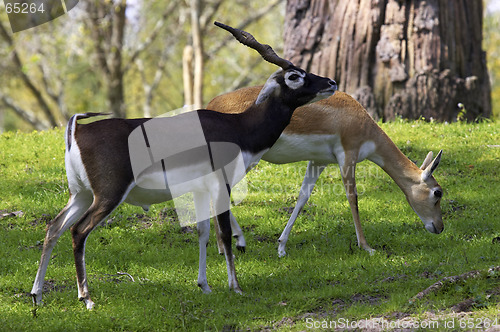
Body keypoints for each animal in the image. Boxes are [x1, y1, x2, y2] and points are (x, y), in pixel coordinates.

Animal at [30, 22, 336, 308]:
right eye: (294, 76)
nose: (331, 82)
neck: (240, 128)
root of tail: (78, 131)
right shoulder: (221, 185)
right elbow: (224, 234)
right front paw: (235, 287)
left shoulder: (200, 190)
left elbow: (203, 232)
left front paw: (205, 286)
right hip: (108, 195)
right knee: (78, 231)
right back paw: (87, 298)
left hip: (81, 194)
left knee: (54, 228)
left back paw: (37, 295)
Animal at [209, 86, 444, 256]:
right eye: (437, 192)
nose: (439, 227)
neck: (362, 121)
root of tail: (211, 104)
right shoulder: (348, 155)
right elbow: (352, 197)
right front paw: (367, 247)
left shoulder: (318, 162)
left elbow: (302, 197)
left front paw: (281, 247)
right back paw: (232, 245)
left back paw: (223, 247)